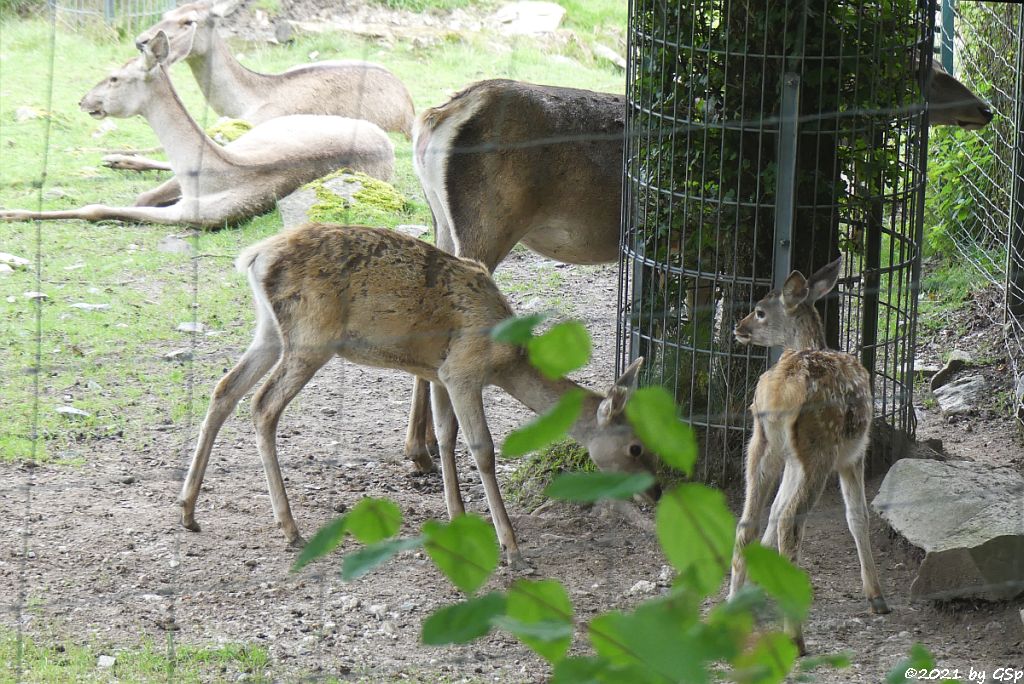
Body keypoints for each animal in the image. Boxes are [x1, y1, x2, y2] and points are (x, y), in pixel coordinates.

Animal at [0, 31, 391, 228]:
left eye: (114, 77)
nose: (83, 101)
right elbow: (137, 197)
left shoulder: (196, 217)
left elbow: (99, 208)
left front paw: (11, 212)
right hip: (260, 131)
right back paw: (116, 159)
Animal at [104, 0, 415, 171]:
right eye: (166, 15)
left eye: (188, 20)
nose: (141, 41)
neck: (246, 103)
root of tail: (409, 108)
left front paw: (115, 155)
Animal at [184, 222, 659, 569]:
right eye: (636, 447)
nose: (655, 492)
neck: (505, 360)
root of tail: (254, 256)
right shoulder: (463, 369)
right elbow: (483, 449)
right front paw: (511, 547)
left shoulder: (439, 373)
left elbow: (447, 436)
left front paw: (457, 516)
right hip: (310, 338)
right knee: (262, 405)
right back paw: (289, 527)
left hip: (269, 330)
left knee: (224, 389)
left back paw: (188, 510)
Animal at [403, 69, 995, 473]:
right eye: (928, 71)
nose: (985, 108)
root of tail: (433, 120)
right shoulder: (700, 246)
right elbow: (706, 326)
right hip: (487, 223)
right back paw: (431, 444)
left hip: (441, 222)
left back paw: (422, 448)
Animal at [729, 258, 888, 655]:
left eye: (760, 311)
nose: (739, 328)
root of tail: (779, 392)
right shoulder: (854, 453)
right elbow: (857, 516)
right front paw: (876, 597)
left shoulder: (790, 460)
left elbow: (772, 512)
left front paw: (756, 587)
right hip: (820, 449)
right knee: (792, 522)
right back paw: (796, 637)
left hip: (761, 444)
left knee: (748, 520)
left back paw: (731, 608)